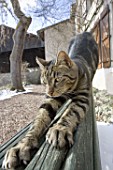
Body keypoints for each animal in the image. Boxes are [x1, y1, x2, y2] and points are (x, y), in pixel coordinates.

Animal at [2, 31, 98, 169]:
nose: (49, 92)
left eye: (57, 80)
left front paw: (59, 129)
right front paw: (21, 146)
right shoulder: (50, 101)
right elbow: (38, 122)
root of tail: (85, 32)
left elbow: (71, 113)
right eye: (44, 82)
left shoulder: (82, 97)